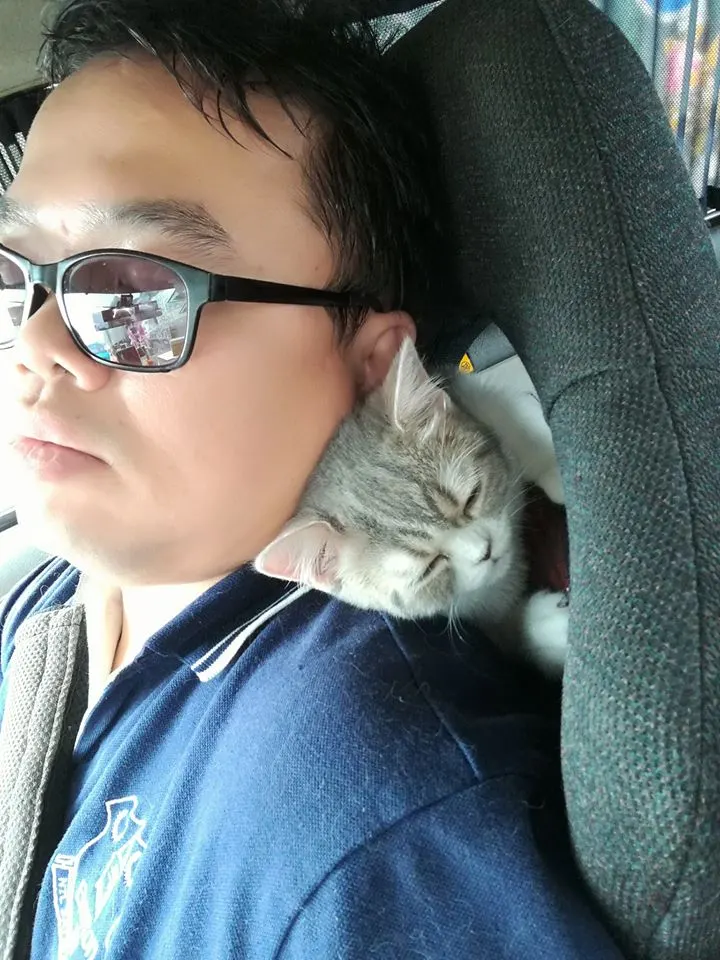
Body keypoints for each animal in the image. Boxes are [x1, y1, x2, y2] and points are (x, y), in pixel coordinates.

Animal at [255, 337, 569, 678]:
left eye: (471, 498)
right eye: (429, 567)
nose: (485, 551)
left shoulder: (464, 387)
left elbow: (507, 417)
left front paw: (551, 466)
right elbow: (509, 632)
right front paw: (545, 629)